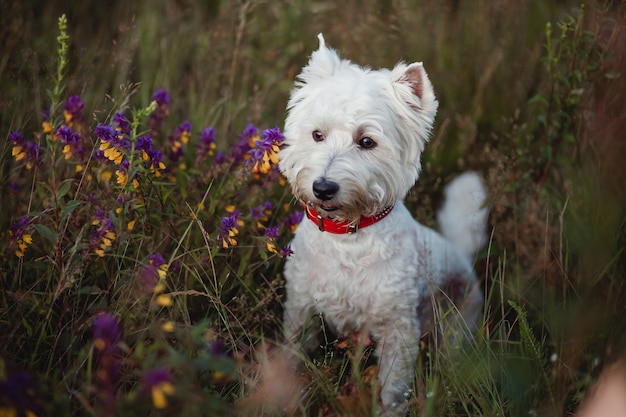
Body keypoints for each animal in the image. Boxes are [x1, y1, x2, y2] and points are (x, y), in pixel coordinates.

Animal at [278, 34, 488, 414]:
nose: (323, 187)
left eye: (366, 142)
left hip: (455, 332)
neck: (347, 237)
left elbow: (392, 392)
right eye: (317, 134)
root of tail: (462, 255)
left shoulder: (398, 331)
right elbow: (292, 358)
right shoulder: (300, 310)